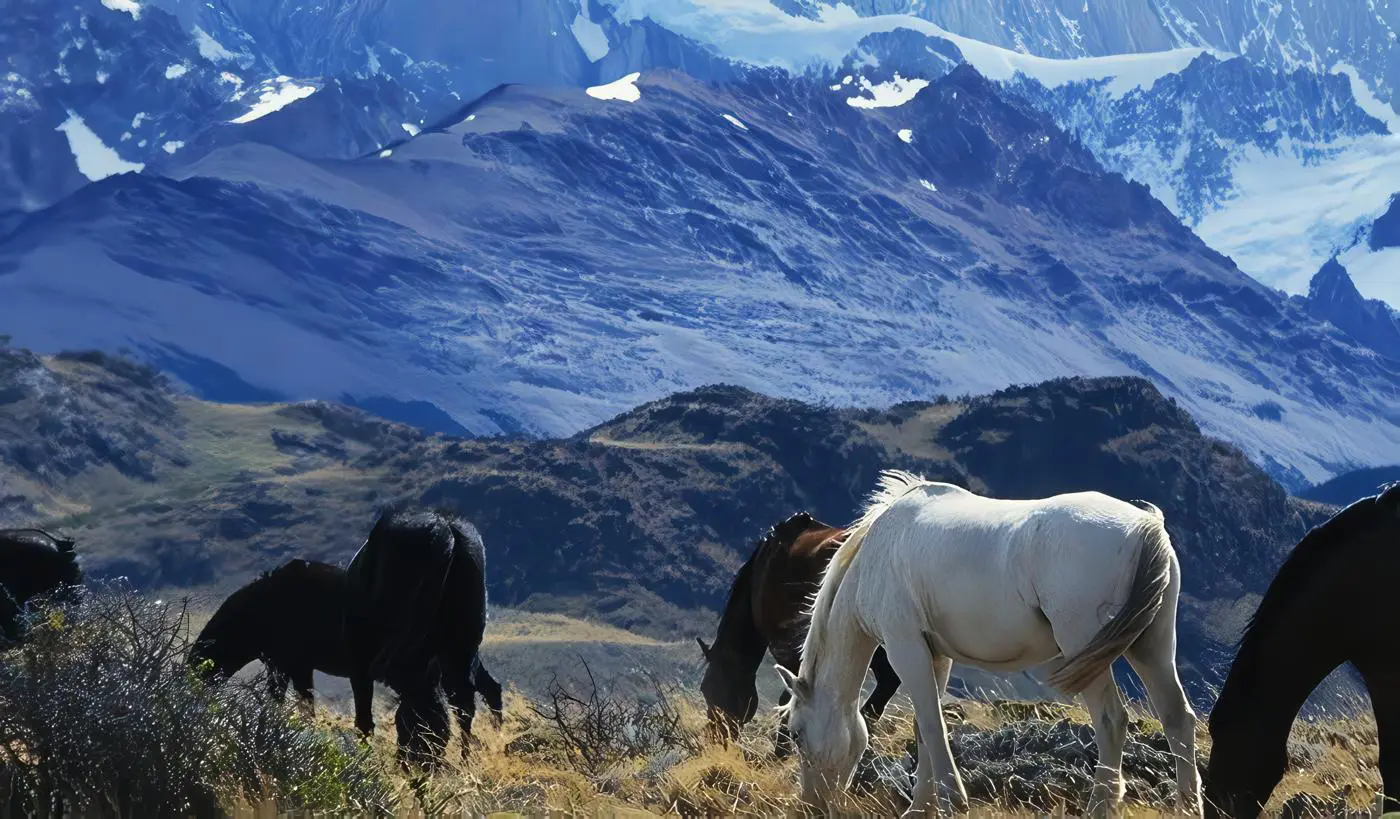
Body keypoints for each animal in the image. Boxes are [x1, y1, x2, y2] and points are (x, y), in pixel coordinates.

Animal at [344, 504, 498, 767]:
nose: (417, 767)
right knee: (466, 700)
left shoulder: (360, 659)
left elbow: (364, 718)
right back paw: (467, 761)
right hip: (463, 648)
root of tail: (447, 530)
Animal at [778, 470, 1204, 812]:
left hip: (1085, 646)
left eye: (796, 733)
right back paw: (1187, 805)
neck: (878, 552)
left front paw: (952, 801)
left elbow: (932, 725)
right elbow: (923, 728)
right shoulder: (936, 656)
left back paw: (1100, 806)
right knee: (1177, 718)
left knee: (1111, 721)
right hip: (1150, 647)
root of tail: (1145, 526)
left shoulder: (905, 649)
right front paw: (921, 808)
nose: (811, 805)